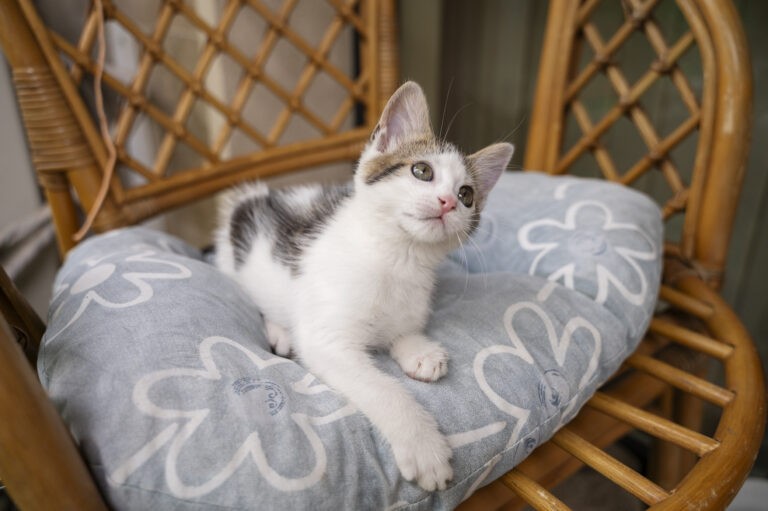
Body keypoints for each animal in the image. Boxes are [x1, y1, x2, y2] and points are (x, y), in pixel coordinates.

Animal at [216, 82, 512, 490]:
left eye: (467, 194)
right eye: (422, 170)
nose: (448, 202)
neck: (397, 257)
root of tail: (251, 198)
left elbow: (403, 331)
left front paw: (421, 351)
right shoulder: (328, 340)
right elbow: (383, 390)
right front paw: (424, 447)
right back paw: (280, 330)